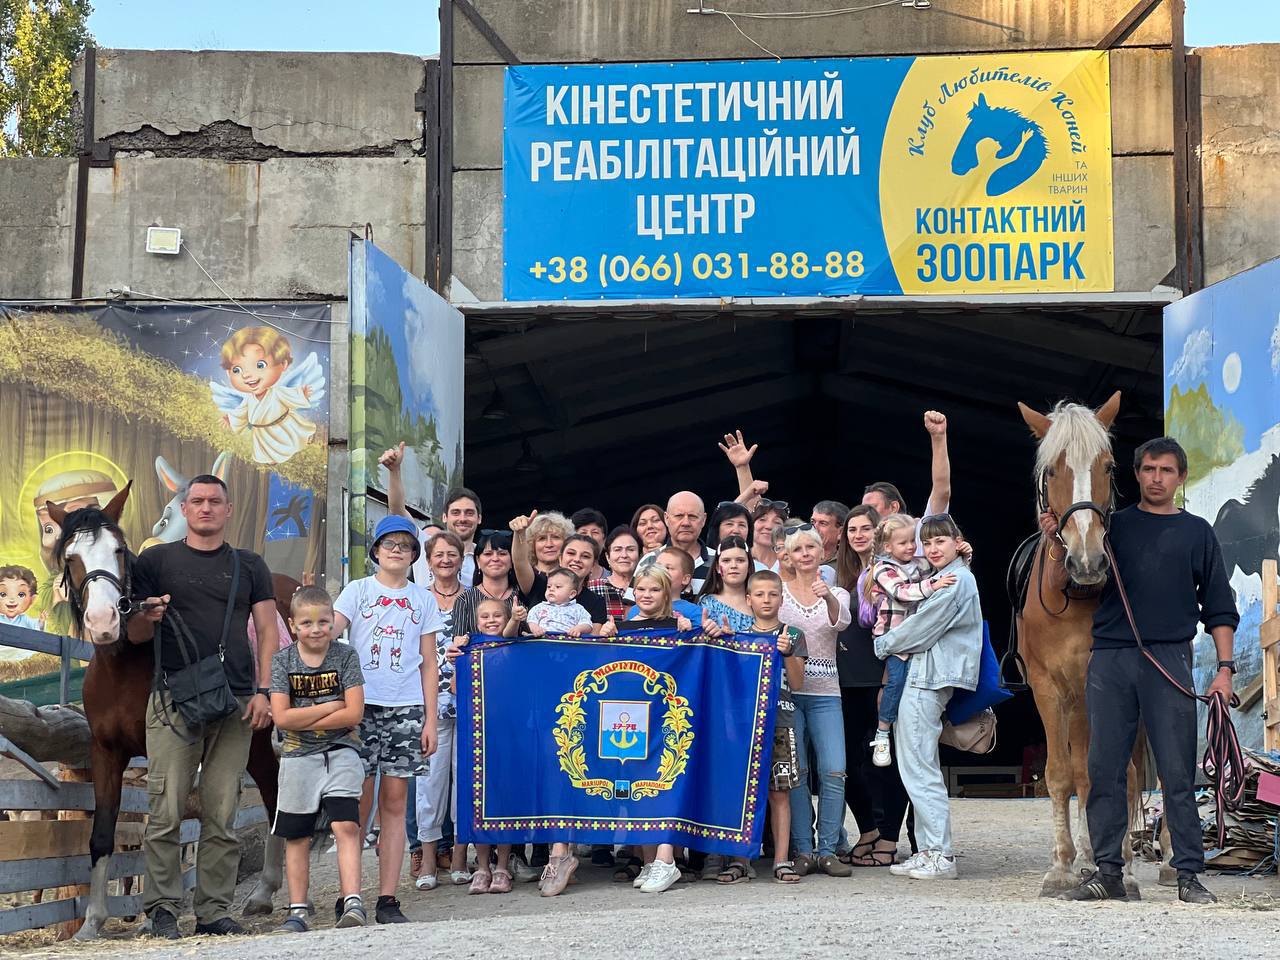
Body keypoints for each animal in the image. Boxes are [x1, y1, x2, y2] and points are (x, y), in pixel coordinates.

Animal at [48, 483, 289, 936]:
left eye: (119, 550)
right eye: (71, 557)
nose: (104, 621)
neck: (125, 666)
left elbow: (164, 830)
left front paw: (150, 917)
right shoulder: (106, 753)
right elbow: (104, 833)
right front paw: (93, 921)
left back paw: (274, 893)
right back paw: (263, 894)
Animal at [1018, 391, 1152, 901]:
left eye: (1108, 466)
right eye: (1052, 470)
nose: (1088, 560)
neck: (1073, 593)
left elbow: (1114, 775)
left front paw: (1120, 866)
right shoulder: (1049, 688)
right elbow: (1062, 773)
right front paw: (1062, 866)